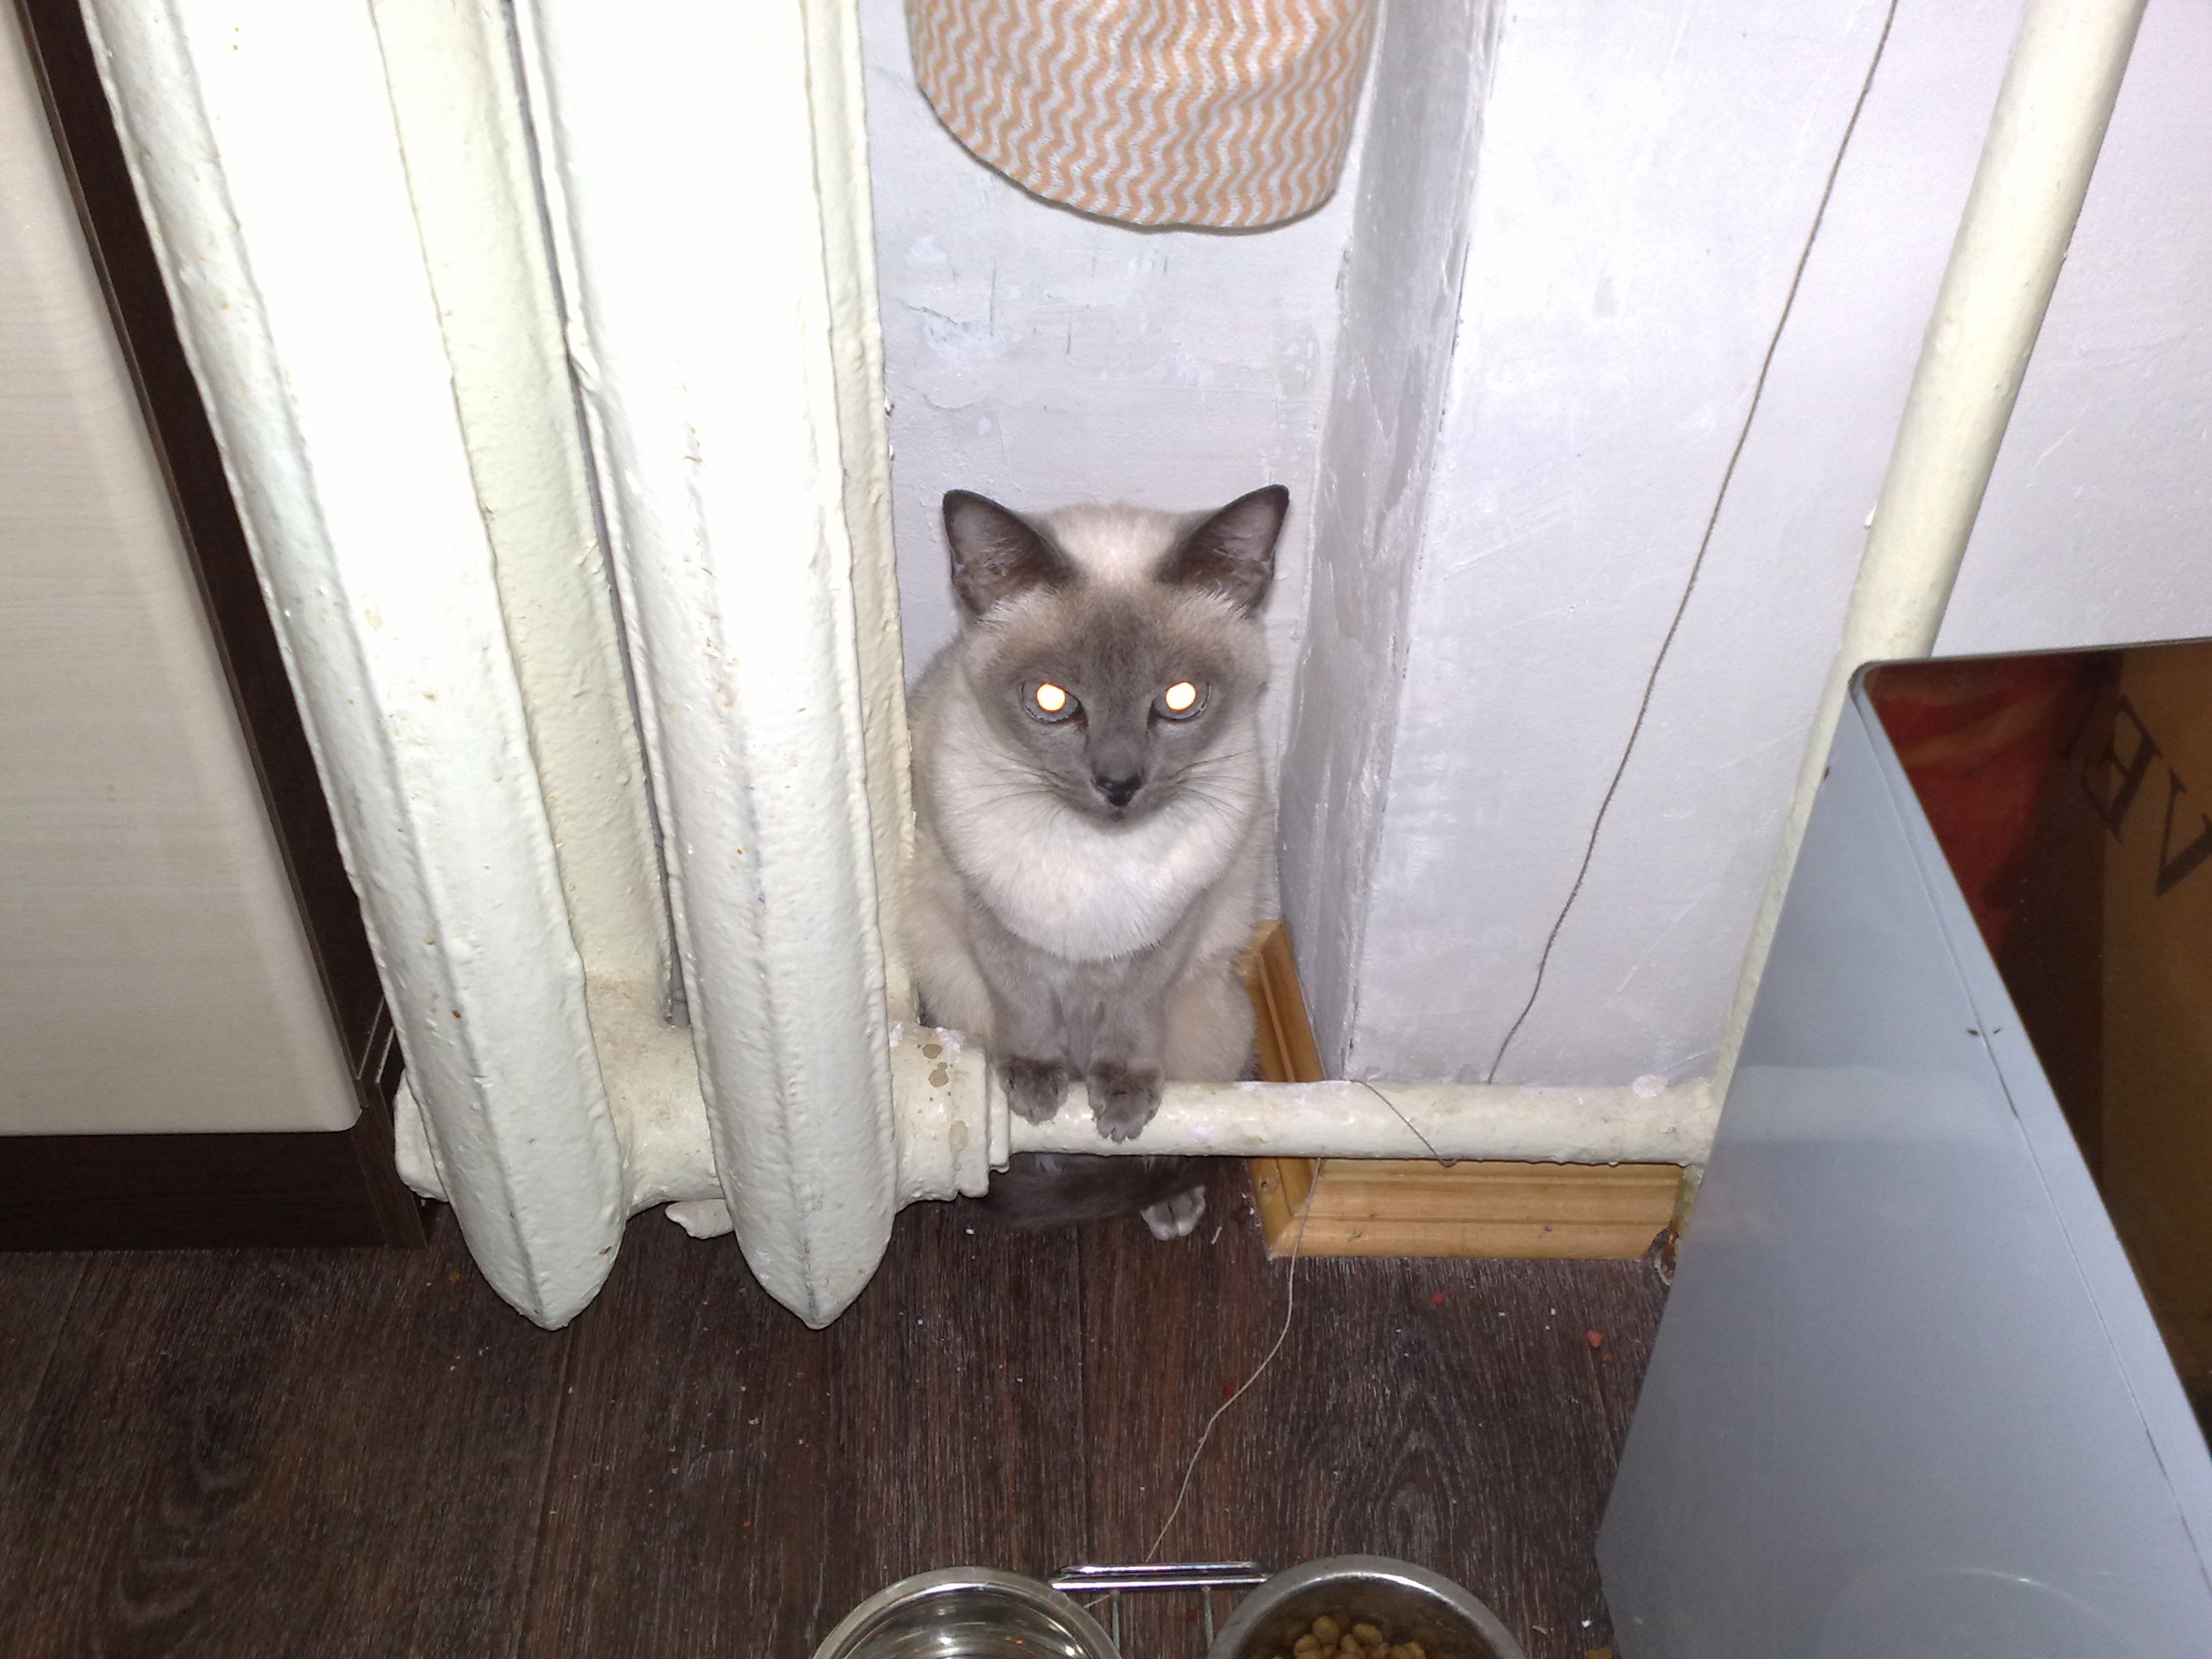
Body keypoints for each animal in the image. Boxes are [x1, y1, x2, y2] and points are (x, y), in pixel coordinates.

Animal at [905, 485, 1286, 1238]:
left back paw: (1166, 1197)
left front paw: (1122, 1099)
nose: (1118, 784)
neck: (1100, 856)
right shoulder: (985, 916)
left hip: (1214, 1019)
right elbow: (1024, 1005)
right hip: (954, 994)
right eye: (1052, 701)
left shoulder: (1175, 929)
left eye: (1181, 700)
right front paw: (1035, 1089)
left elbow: (1132, 1014)